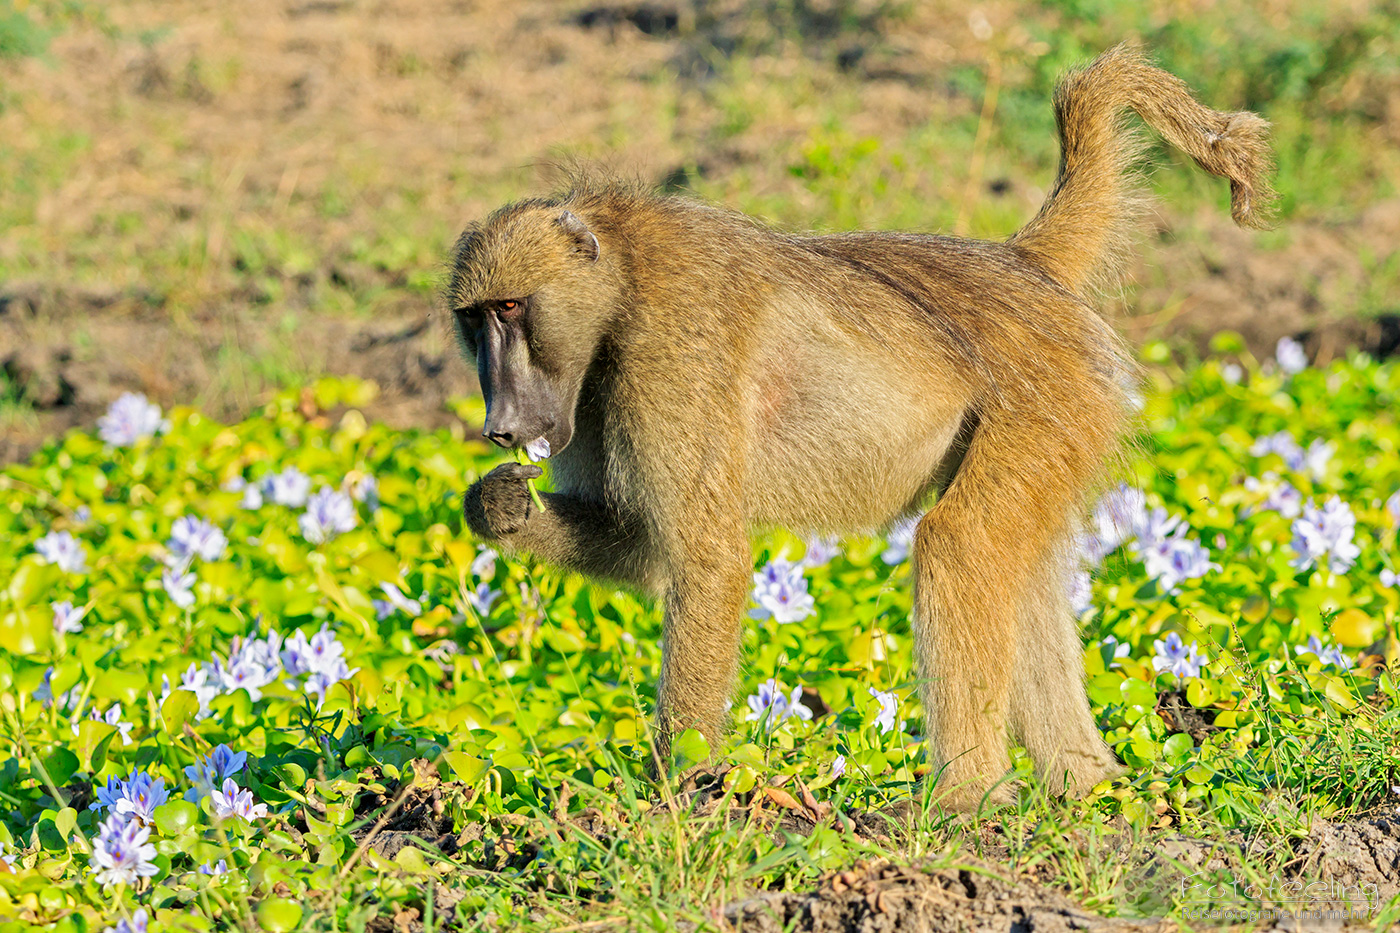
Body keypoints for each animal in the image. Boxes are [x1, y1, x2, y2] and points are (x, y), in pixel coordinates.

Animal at [449, 44, 1274, 810]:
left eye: (513, 308)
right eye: (474, 319)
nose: (501, 423)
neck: (620, 279)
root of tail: (1019, 264)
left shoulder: (673, 353)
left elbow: (707, 560)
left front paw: (675, 792)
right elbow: (641, 544)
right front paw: (500, 504)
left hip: (1046, 401)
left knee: (960, 544)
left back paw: (967, 800)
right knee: (1020, 567)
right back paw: (1086, 786)